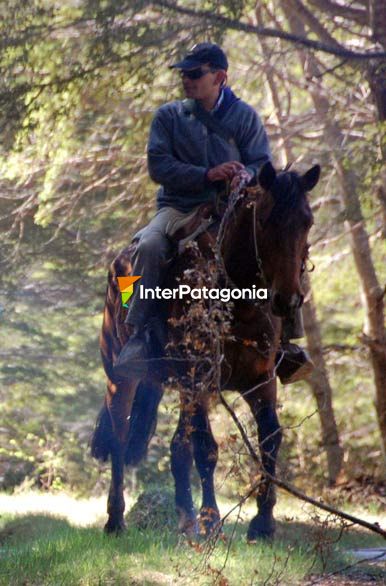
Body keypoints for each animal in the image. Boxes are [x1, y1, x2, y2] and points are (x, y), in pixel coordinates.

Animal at [91, 160, 320, 540]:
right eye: (264, 220)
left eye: (308, 221)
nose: (287, 300)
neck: (237, 302)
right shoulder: (197, 377)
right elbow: (206, 448)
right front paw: (212, 521)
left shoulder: (260, 381)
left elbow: (270, 438)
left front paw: (263, 522)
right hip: (122, 380)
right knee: (119, 439)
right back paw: (116, 519)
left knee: (177, 447)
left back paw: (185, 518)